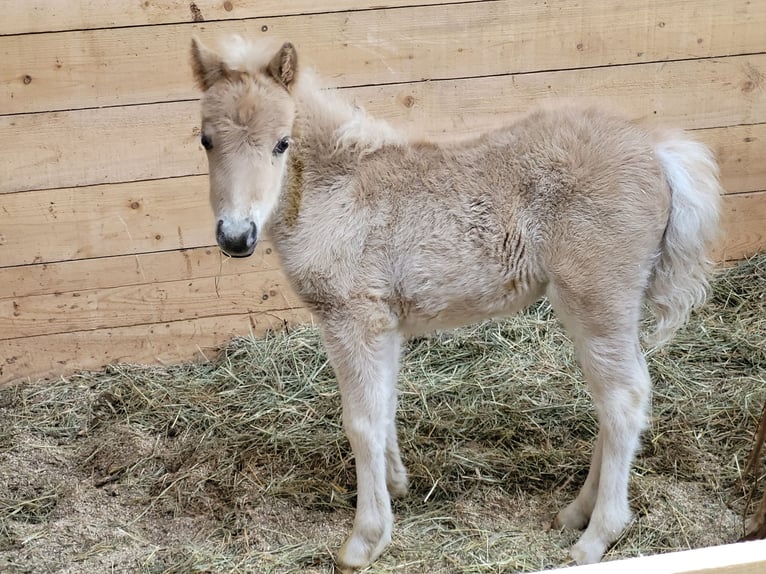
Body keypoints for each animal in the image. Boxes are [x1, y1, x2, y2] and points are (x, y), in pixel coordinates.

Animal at [189, 36, 722, 572]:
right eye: (206, 140)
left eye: (282, 143)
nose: (236, 237)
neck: (338, 191)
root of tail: (656, 149)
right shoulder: (384, 323)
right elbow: (385, 404)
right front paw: (396, 485)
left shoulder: (352, 319)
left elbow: (361, 422)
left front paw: (365, 539)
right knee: (623, 396)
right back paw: (575, 513)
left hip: (597, 299)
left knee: (623, 399)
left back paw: (596, 537)